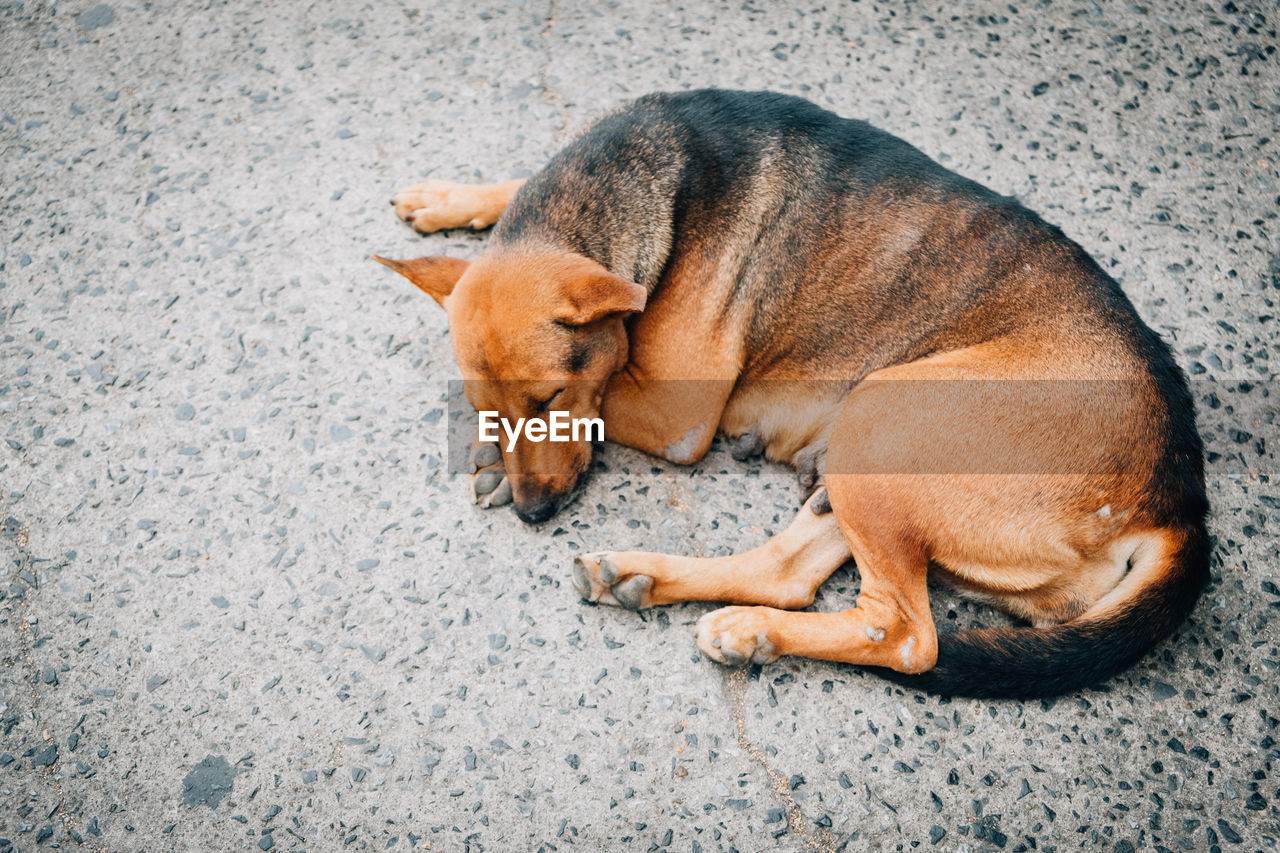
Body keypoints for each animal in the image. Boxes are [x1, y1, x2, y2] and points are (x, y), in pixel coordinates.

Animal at [376, 89, 1208, 696]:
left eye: (550, 399)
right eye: (485, 403)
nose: (534, 514)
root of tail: (1181, 498)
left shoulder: (676, 415)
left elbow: (607, 395)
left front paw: (493, 459)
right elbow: (515, 186)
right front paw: (449, 197)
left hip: (885, 410)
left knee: (903, 633)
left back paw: (747, 631)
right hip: (872, 458)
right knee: (794, 577)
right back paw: (669, 590)